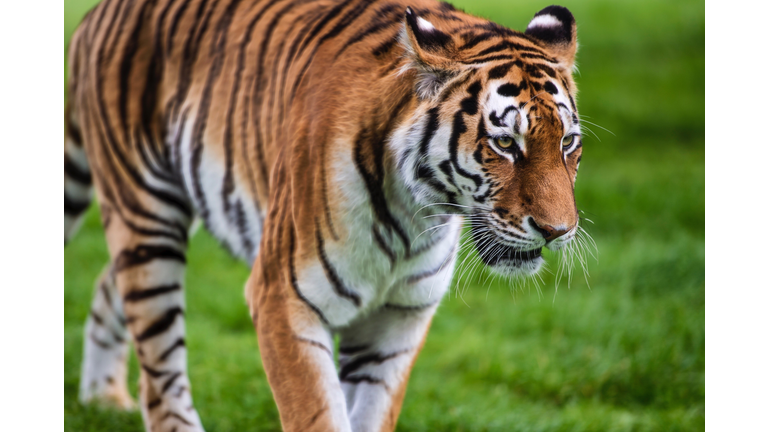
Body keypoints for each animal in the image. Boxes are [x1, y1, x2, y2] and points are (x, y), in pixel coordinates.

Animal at [66, 0, 584, 428]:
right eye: (505, 143)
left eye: (567, 143)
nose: (557, 231)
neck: (416, 217)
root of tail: (100, 10)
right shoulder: (284, 300)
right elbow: (317, 414)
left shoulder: (398, 318)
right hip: (147, 214)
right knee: (159, 368)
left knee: (110, 283)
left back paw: (102, 398)